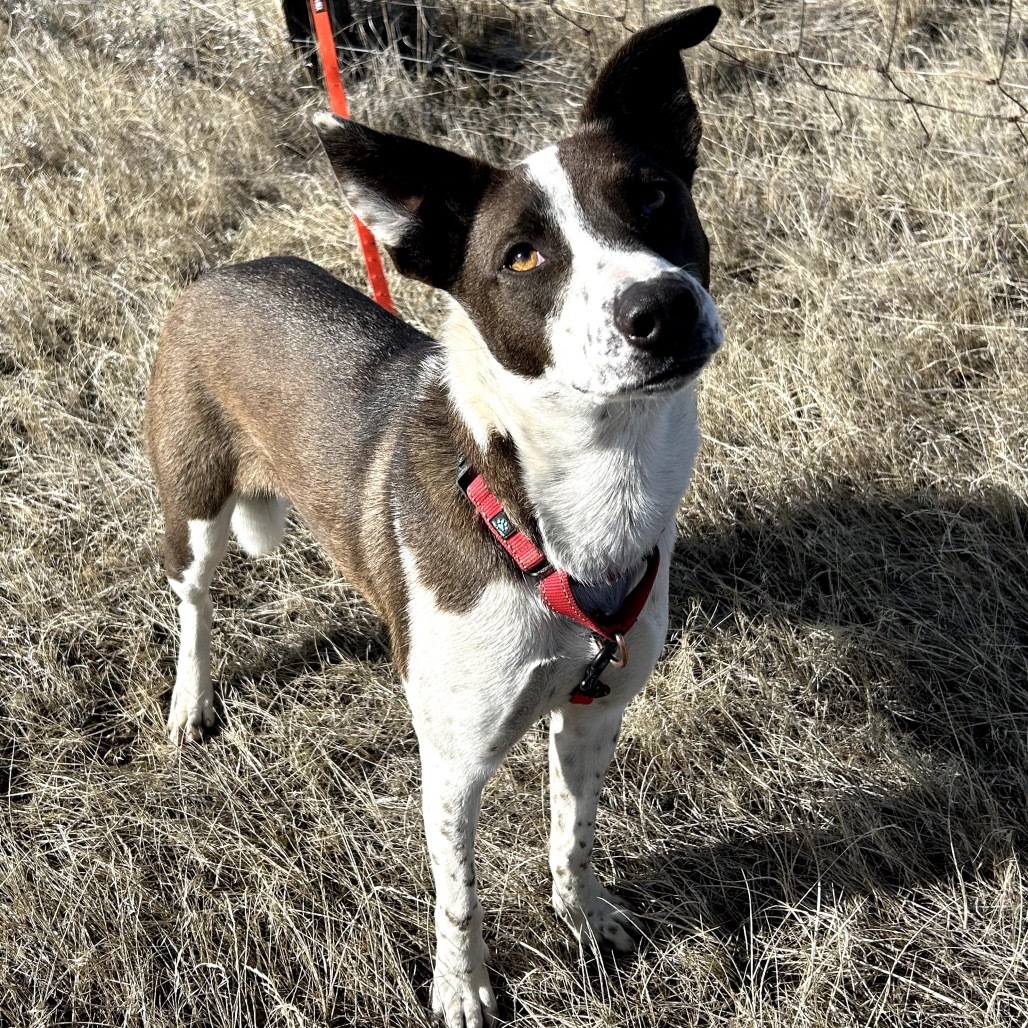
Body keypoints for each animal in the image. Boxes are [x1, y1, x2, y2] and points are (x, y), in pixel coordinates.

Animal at [144, 10, 723, 1028]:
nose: (659, 307)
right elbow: (459, 893)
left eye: (654, 197)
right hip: (197, 507)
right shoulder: (452, 760)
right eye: (522, 257)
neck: (559, 505)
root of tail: (222, 271)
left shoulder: (595, 711)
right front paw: (463, 988)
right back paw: (190, 699)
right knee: (195, 603)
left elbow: (574, 832)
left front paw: (587, 918)